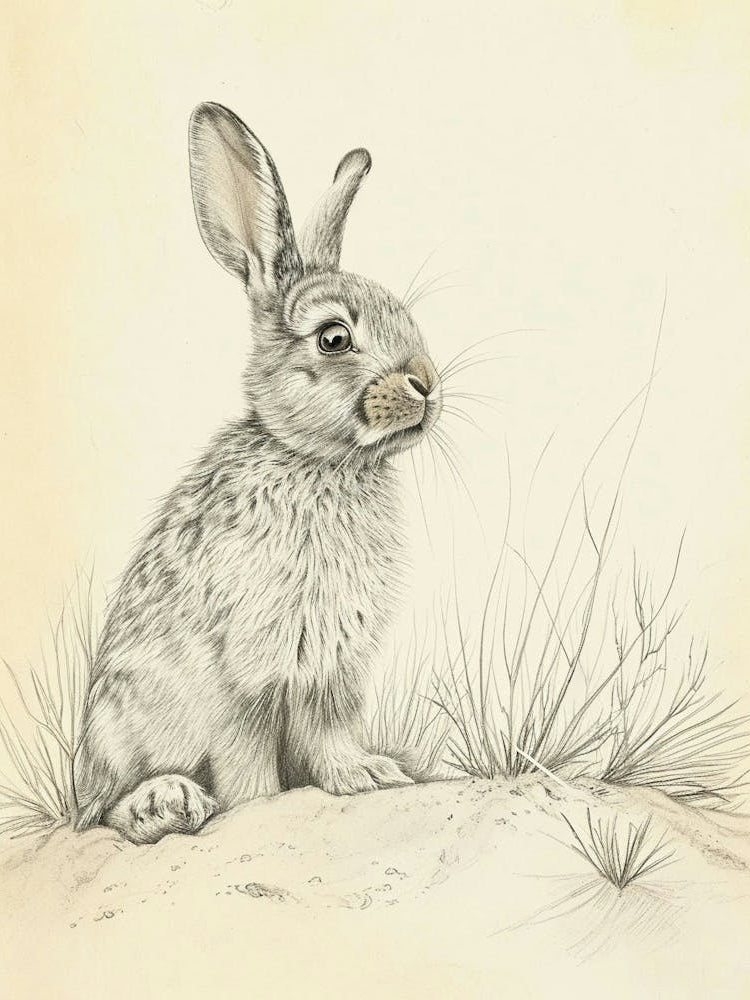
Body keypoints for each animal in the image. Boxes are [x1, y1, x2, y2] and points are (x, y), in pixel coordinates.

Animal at [72, 102, 443, 845]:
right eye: (334, 338)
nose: (426, 383)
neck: (319, 461)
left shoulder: (330, 672)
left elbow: (329, 738)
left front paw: (367, 775)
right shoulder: (246, 675)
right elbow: (249, 769)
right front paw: (258, 806)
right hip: (127, 724)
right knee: (103, 811)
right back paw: (166, 803)